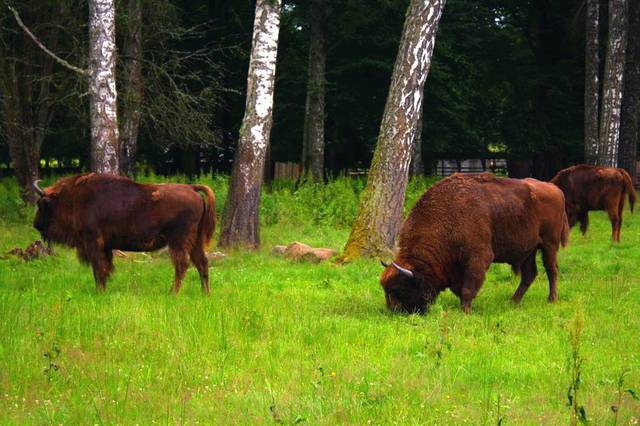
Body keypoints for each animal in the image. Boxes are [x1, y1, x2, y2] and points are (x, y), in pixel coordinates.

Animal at [32, 173, 216, 292]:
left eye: (40, 204)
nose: (35, 224)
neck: (74, 198)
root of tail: (192, 188)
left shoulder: (93, 243)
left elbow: (98, 268)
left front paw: (100, 291)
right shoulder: (105, 247)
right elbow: (105, 268)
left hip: (178, 241)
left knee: (183, 264)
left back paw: (173, 293)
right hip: (195, 241)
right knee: (202, 262)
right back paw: (205, 294)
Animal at [378, 171, 568, 314]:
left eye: (399, 289)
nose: (392, 311)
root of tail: (556, 189)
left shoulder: (477, 257)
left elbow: (468, 288)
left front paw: (466, 311)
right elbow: (461, 288)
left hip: (549, 245)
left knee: (552, 271)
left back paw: (551, 300)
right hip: (528, 251)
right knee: (529, 274)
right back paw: (513, 301)